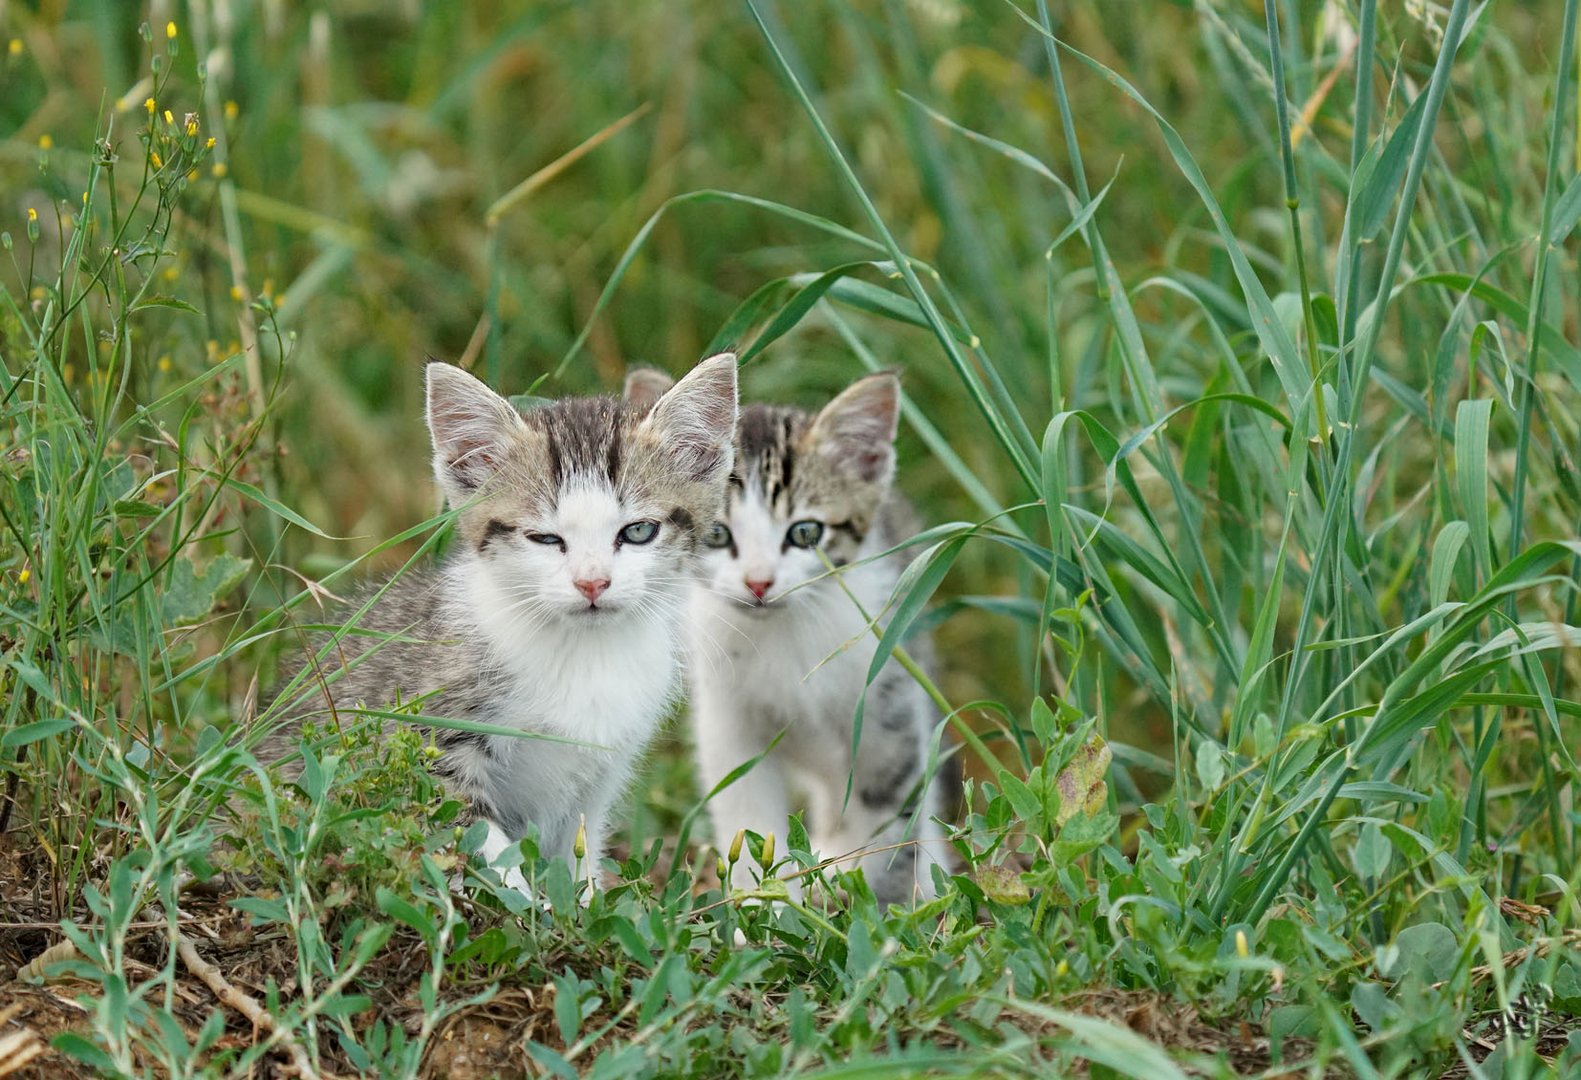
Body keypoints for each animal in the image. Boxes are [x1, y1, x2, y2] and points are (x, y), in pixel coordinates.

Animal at [273, 358, 739, 891]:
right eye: (545, 538)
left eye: (639, 531)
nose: (592, 583)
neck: (583, 652)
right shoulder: (431, 739)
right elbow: (484, 845)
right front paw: (527, 904)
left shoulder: (600, 771)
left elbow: (576, 856)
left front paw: (580, 902)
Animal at [622, 370, 942, 904]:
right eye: (716, 534)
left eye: (806, 533)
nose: (759, 582)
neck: (785, 641)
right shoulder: (727, 720)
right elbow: (746, 814)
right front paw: (758, 908)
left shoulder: (888, 706)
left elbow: (890, 818)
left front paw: (890, 905)